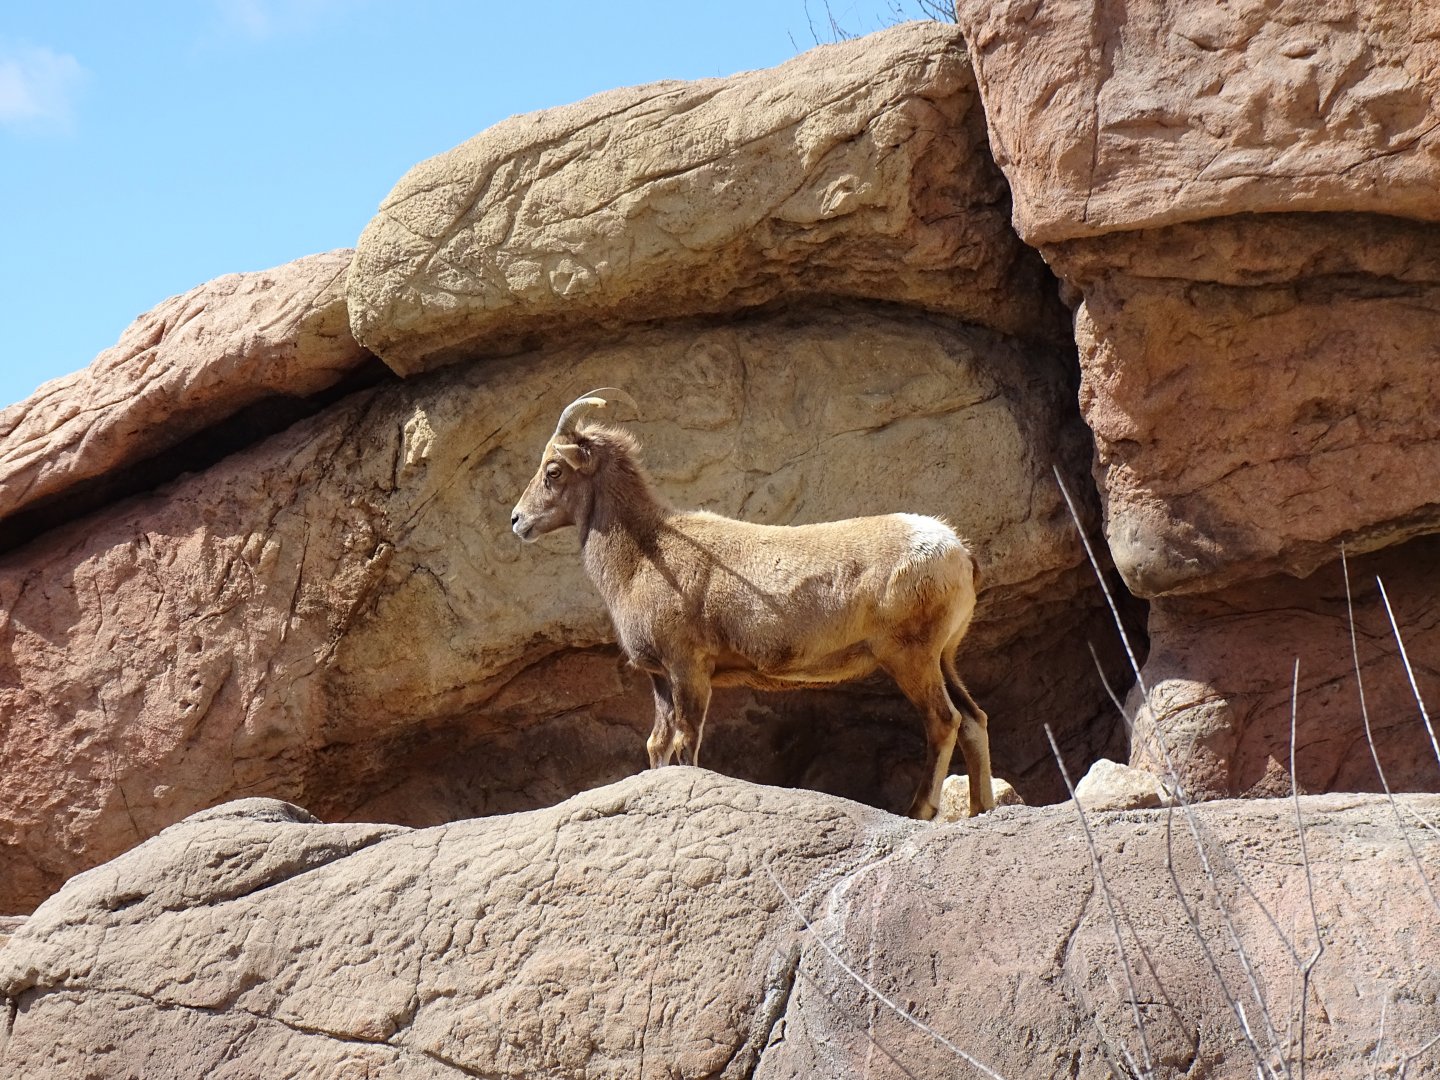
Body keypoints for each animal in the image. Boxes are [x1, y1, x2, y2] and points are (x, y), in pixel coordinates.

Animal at [510, 388, 995, 819]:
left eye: (554, 470)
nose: (517, 520)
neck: (643, 557)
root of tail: (958, 551)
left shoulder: (689, 669)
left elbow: (686, 744)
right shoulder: (661, 679)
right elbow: (657, 745)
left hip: (911, 657)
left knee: (944, 720)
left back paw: (920, 810)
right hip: (943, 657)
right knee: (974, 719)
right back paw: (981, 808)